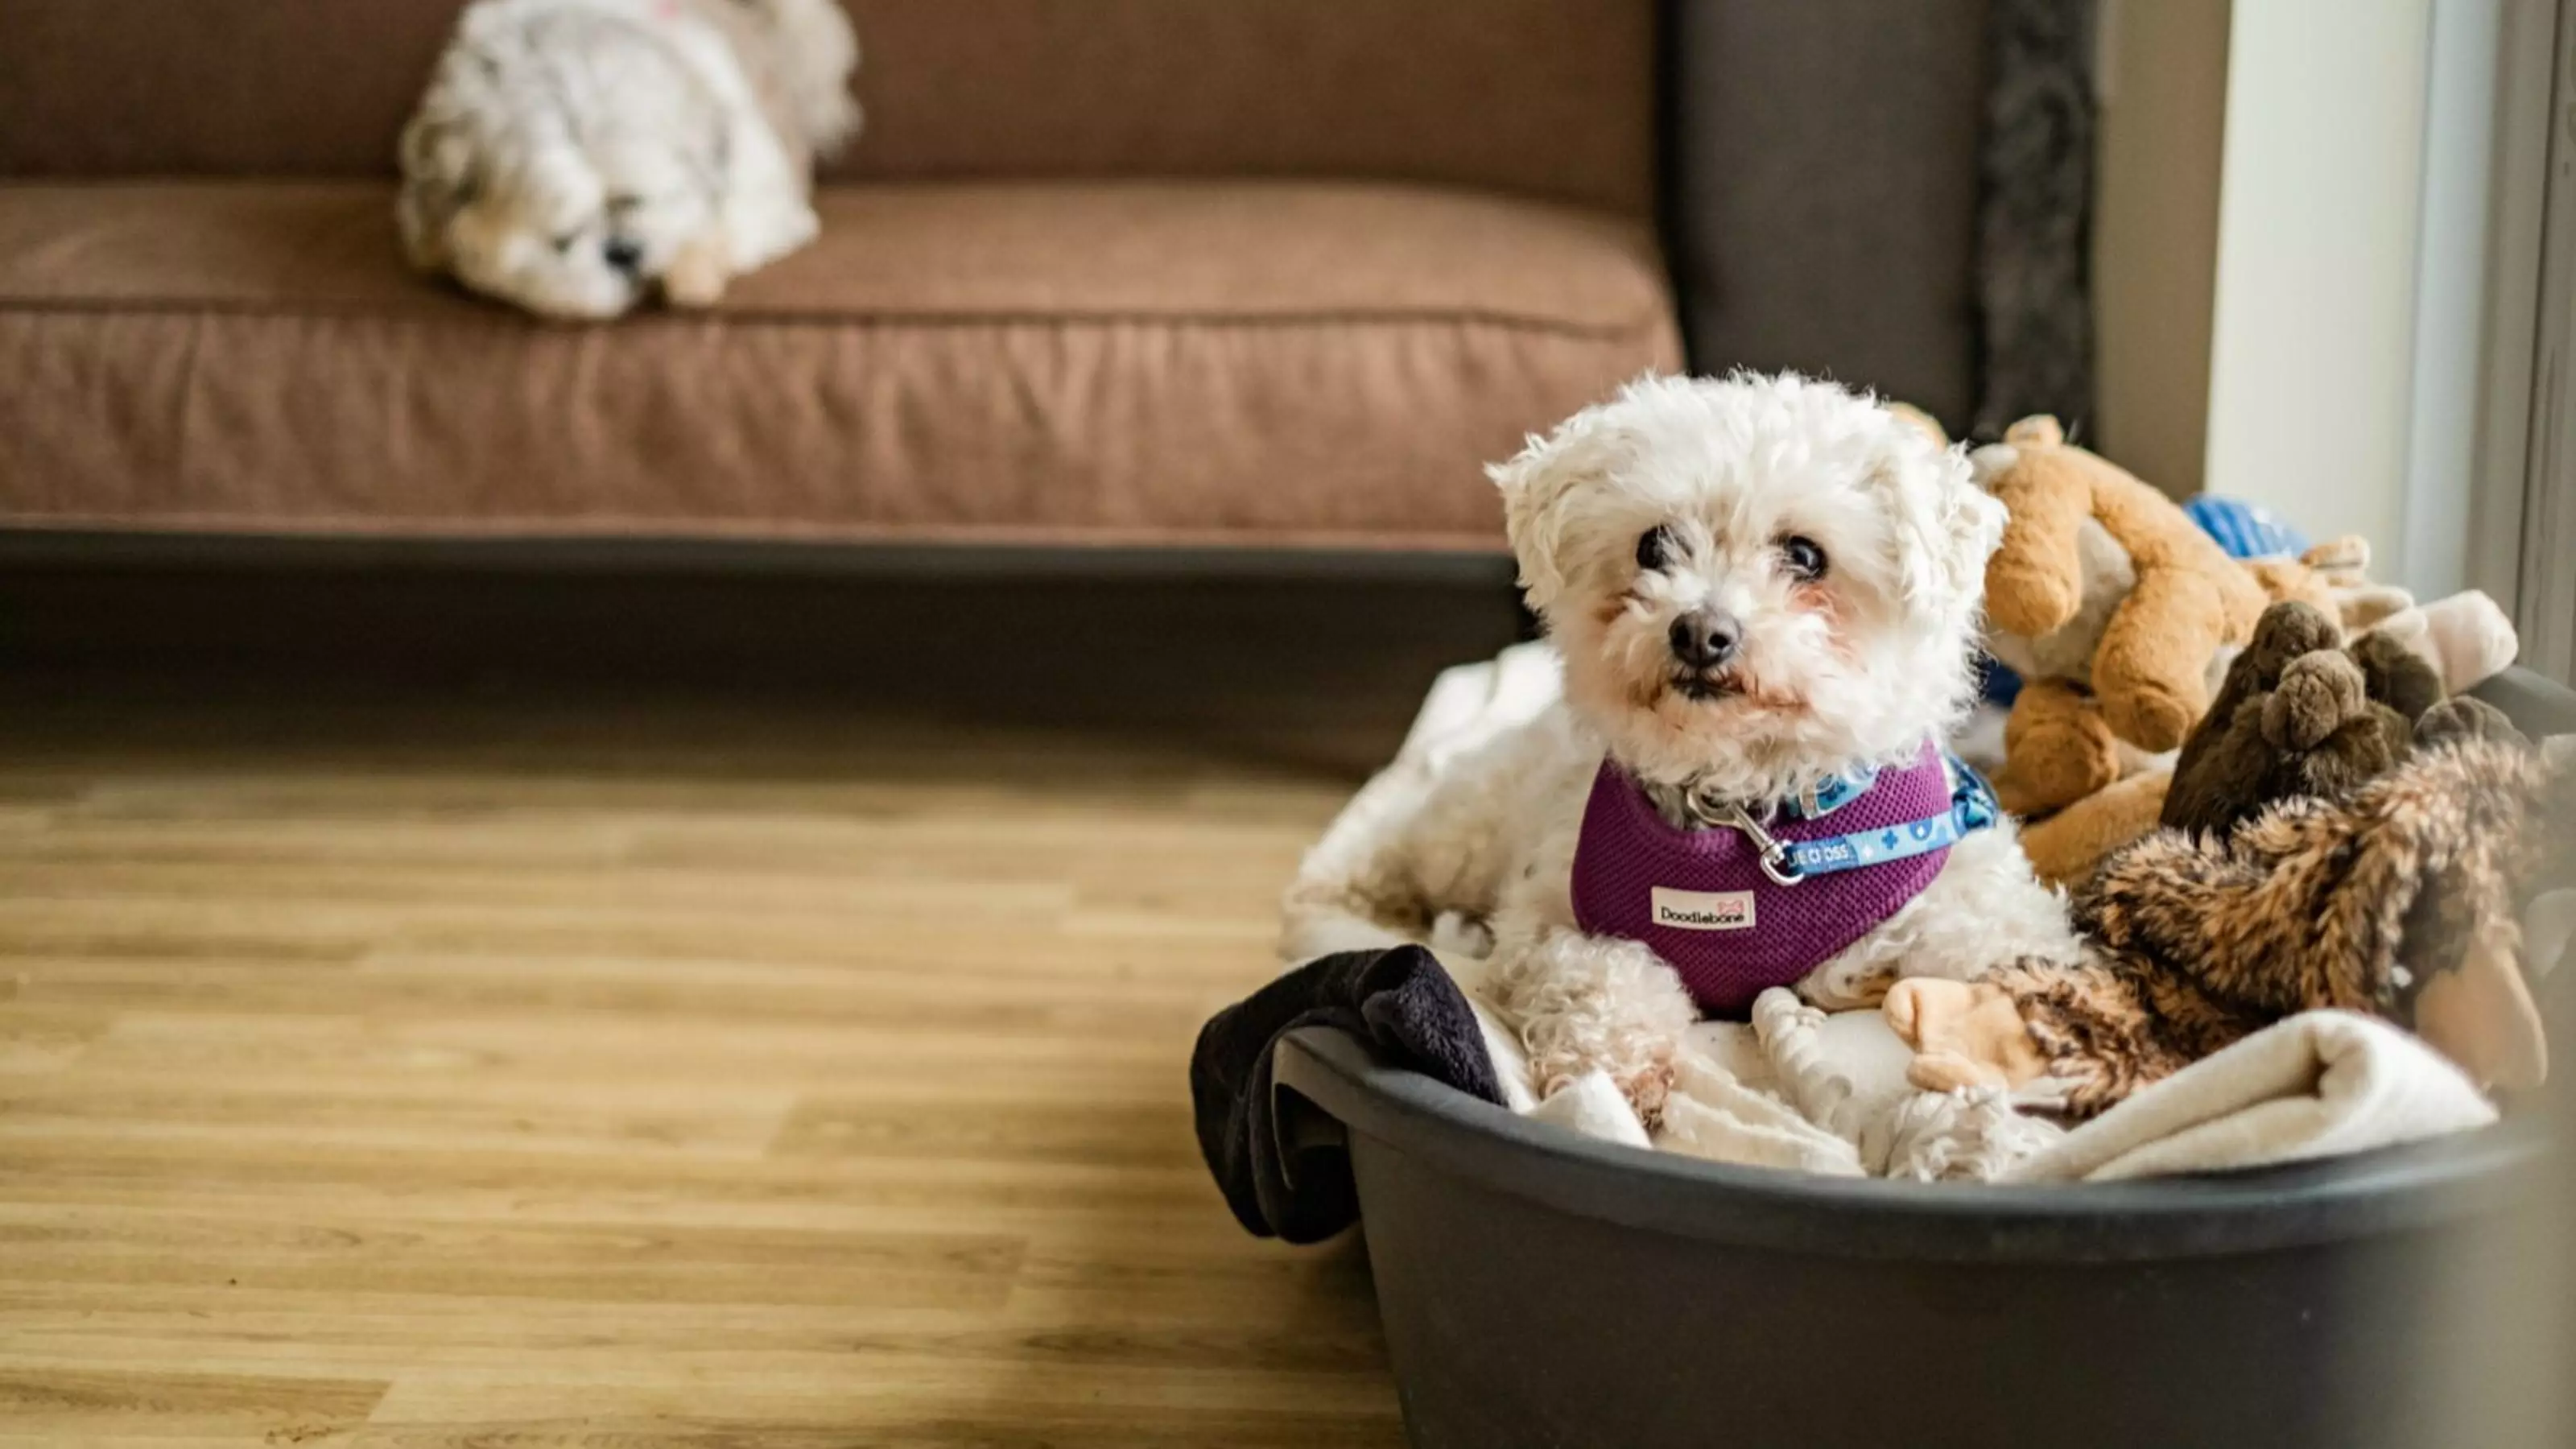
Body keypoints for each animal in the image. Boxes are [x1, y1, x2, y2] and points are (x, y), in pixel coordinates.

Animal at [1278, 371, 2081, 1119]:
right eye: (1654, 545)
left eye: (1805, 556)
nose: (1700, 632)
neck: (1741, 812)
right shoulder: (1554, 920)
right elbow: (1608, 974)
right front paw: (1619, 1069)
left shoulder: (1959, 891)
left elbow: (1999, 942)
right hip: (1467, 834)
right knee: (1390, 856)